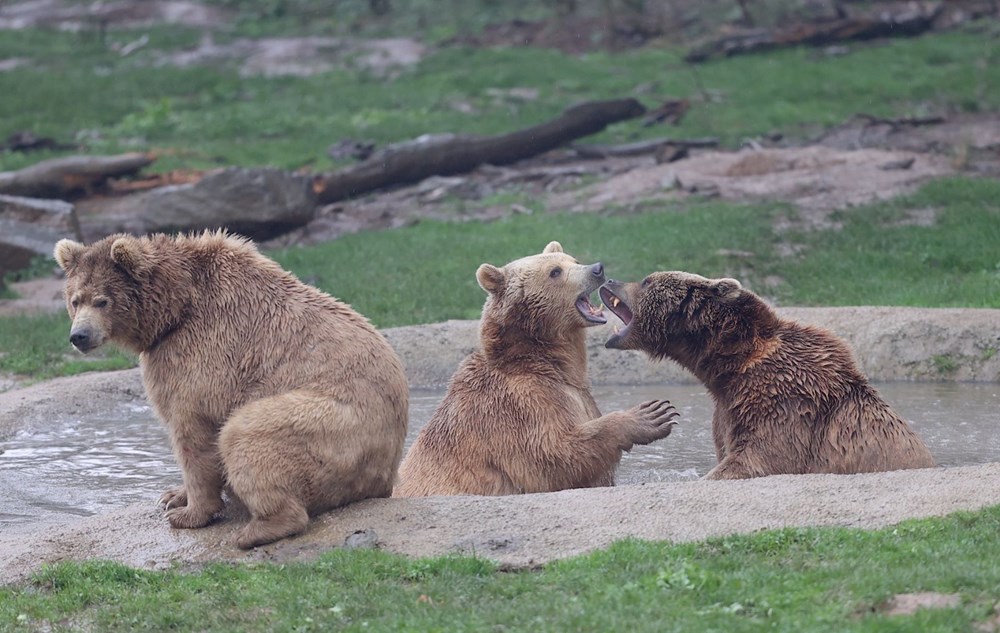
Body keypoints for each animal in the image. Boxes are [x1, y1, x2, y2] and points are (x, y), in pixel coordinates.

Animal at [390, 239, 680, 496]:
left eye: (573, 260)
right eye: (555, 271)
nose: (597, 268)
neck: (545, 361)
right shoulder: (518, 405)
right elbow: (553, 456)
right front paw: (651, 415)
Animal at [600, 272, 936, 478]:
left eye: (646, 280)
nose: (611, 280)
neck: (728, 368)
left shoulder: (783, 401)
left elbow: (758, 458)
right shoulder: (728, 409)